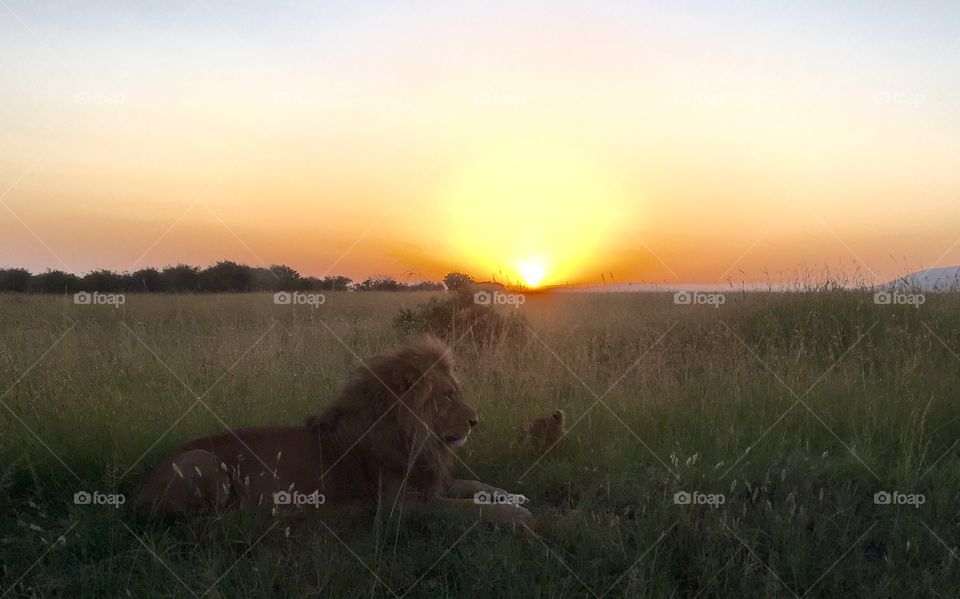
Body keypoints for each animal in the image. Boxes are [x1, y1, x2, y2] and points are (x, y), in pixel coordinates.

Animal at [133, 338, 532, 524]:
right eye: (448, 396)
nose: (475, 421)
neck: (417, 438)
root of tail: (143, 490)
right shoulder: (400, 506)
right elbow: (466, 508)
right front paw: (515, 515)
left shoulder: (430, 479)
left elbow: (472, 486)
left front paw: (511, 496)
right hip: (201, 460)